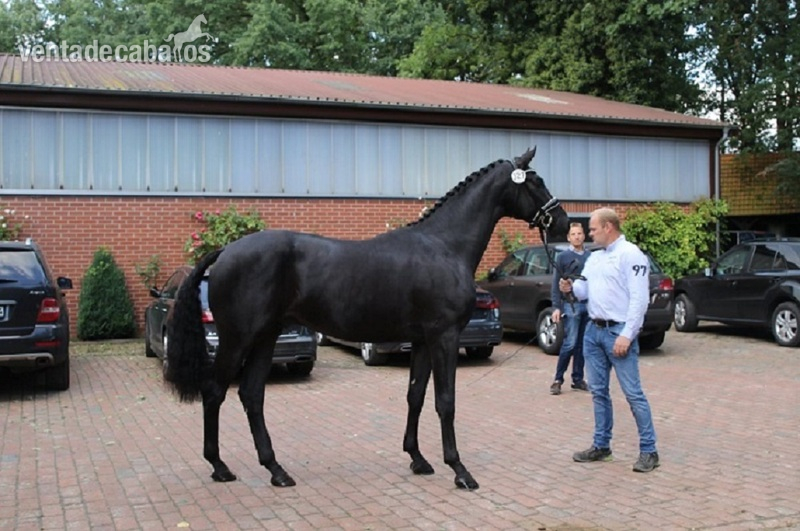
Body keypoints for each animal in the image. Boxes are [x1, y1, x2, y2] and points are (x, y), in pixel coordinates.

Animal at [166, 147, 569, 490]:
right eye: (535, 181)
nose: (563, 222)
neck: (443, 246)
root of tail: (225, 251)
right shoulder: (445, 336)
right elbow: (446, 401)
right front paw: (460, 470)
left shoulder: (423, 340)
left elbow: (415, 396)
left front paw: (418, 459)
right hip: (237, 339)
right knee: (215, 392)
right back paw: (220, 467)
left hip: (265, 336)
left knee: (251, 395)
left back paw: (276, 470)